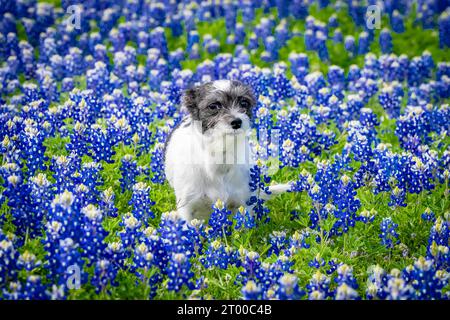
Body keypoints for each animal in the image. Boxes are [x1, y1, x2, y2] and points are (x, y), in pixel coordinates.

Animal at [163, 79, 290, 221]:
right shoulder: (187, 206)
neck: (221, 152)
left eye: (244, 102)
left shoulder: (244, 201)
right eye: (213, 106)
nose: (236, 122)